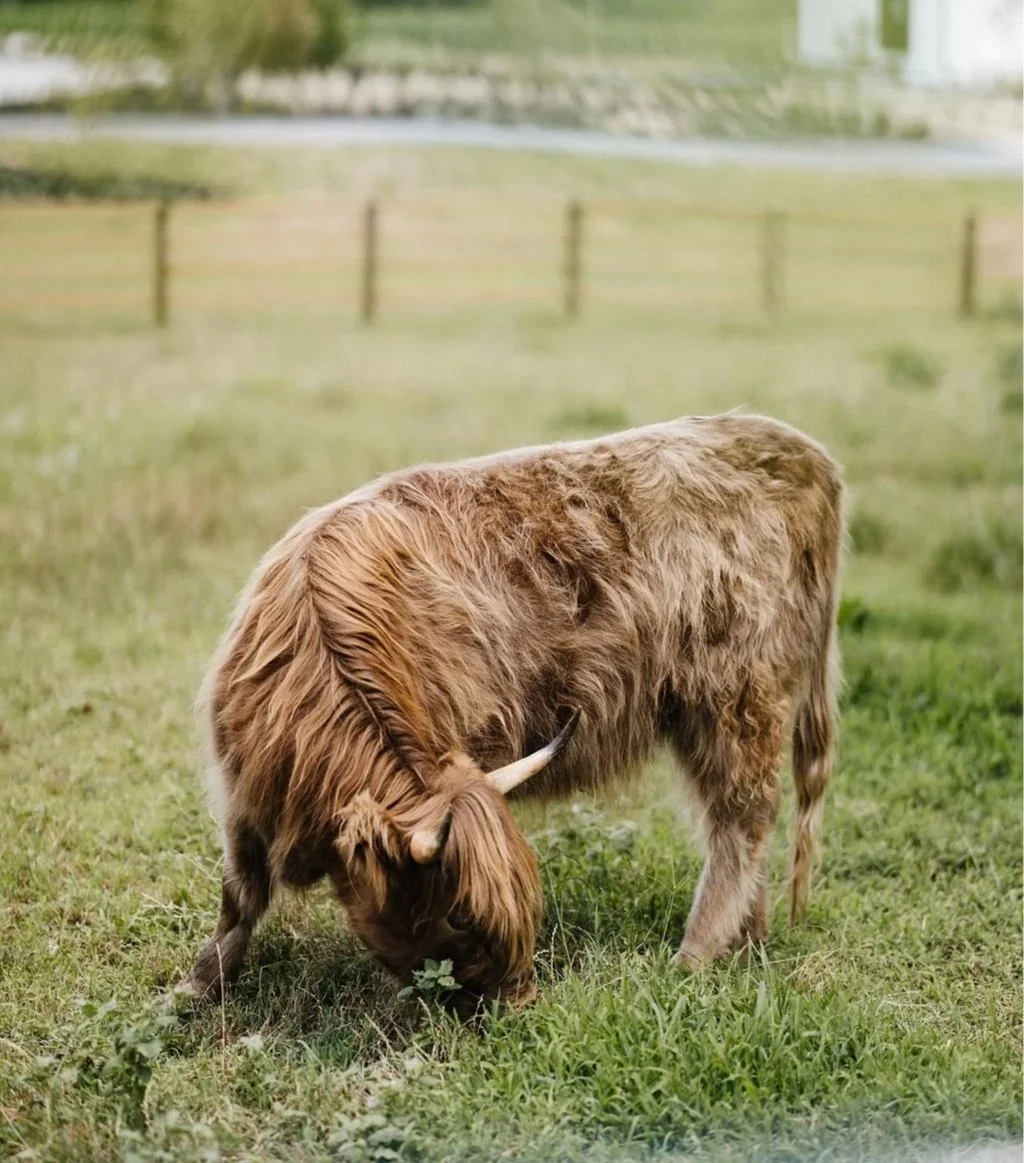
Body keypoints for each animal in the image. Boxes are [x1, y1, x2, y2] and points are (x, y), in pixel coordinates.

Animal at [183, 412, 843, 1012]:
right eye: (458, 918)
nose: (522, 1003)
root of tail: (792, 447)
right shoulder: (245, 793)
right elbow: (239, 894)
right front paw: (200, 988)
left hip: (739, 699)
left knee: (743, 819)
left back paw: (696, 957)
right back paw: (748, 944)